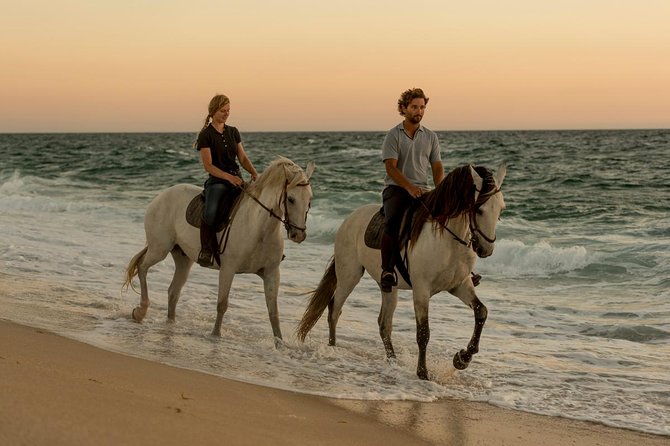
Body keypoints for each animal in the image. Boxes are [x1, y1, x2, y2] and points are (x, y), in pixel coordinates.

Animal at [123, 157, 315, 343]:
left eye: (309, 199)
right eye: (291, 199)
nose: (298, 235)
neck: (259, 228)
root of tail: (161, 195)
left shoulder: (271, 273)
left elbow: (273, 312)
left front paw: (279, 344)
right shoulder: (228, 269)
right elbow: (222, 304)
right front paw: (215, 335)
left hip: (183, 258)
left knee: (173, 291)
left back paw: (170, 324)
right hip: (159, 249)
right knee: (142, 267)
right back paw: (140, 311)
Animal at [297, 163, 506, 379]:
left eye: (501, 209)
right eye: (479, 210)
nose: (486, 249)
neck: (449, 241)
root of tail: (349, 219)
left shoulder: (460, 285)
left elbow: (481, 311)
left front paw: (462, 358)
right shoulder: (421, 290)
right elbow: (423, 332)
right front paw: (423, 372)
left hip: (388, 286)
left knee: (384, 324)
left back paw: (393, 361)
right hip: (349, 275)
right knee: (335, 309)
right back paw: (333, 348)